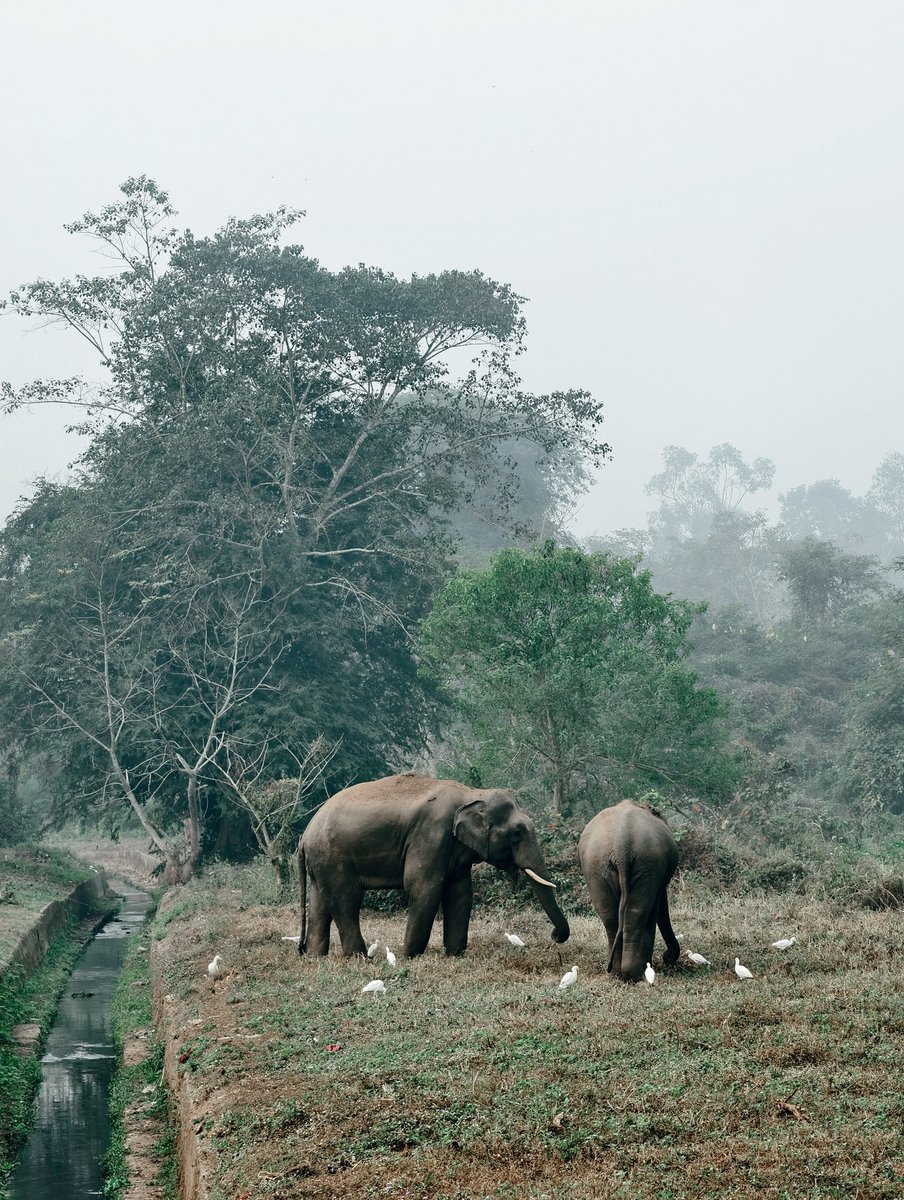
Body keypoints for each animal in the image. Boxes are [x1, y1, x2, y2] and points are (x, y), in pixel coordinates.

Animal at [297, 772, 570, 957]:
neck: (472, 793)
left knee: (320, 902)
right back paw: (360, 957)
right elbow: (424, 887)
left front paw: (454, 954)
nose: (555, 936)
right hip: (333, 856)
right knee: (347, 900)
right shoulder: (432, 833)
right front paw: (409, 956)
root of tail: (305, 834)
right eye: (517, 833)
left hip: (322, 862)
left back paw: (315, 956)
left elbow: (460, 893)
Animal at [577, 799, 681, 983]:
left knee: (611, 915)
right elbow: (657, 907)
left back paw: (617, 971)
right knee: (639, 911)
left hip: (597, 867)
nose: (667, 957)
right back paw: (634, 973)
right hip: (646, 864)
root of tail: (621, 846)